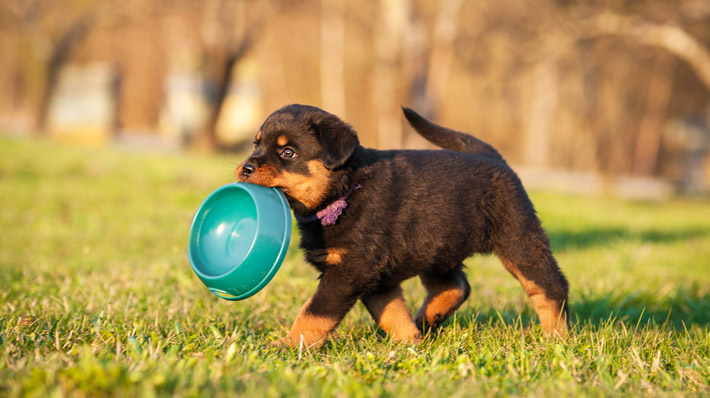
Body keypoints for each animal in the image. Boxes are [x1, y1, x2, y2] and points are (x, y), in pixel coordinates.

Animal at [236, 104, 572, 346]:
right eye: (255, 144)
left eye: (287, 152)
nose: (246, 168)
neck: (344, 191)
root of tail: (493, 157)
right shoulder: (376, 275)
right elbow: (392, 312)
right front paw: (409, 342)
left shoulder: (351, 269)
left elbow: (314, 311)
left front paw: (287, 345)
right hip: (439, 246)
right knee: (455, 286)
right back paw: (427, 319)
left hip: (518, 238)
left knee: (549, 286)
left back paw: (557, 336)